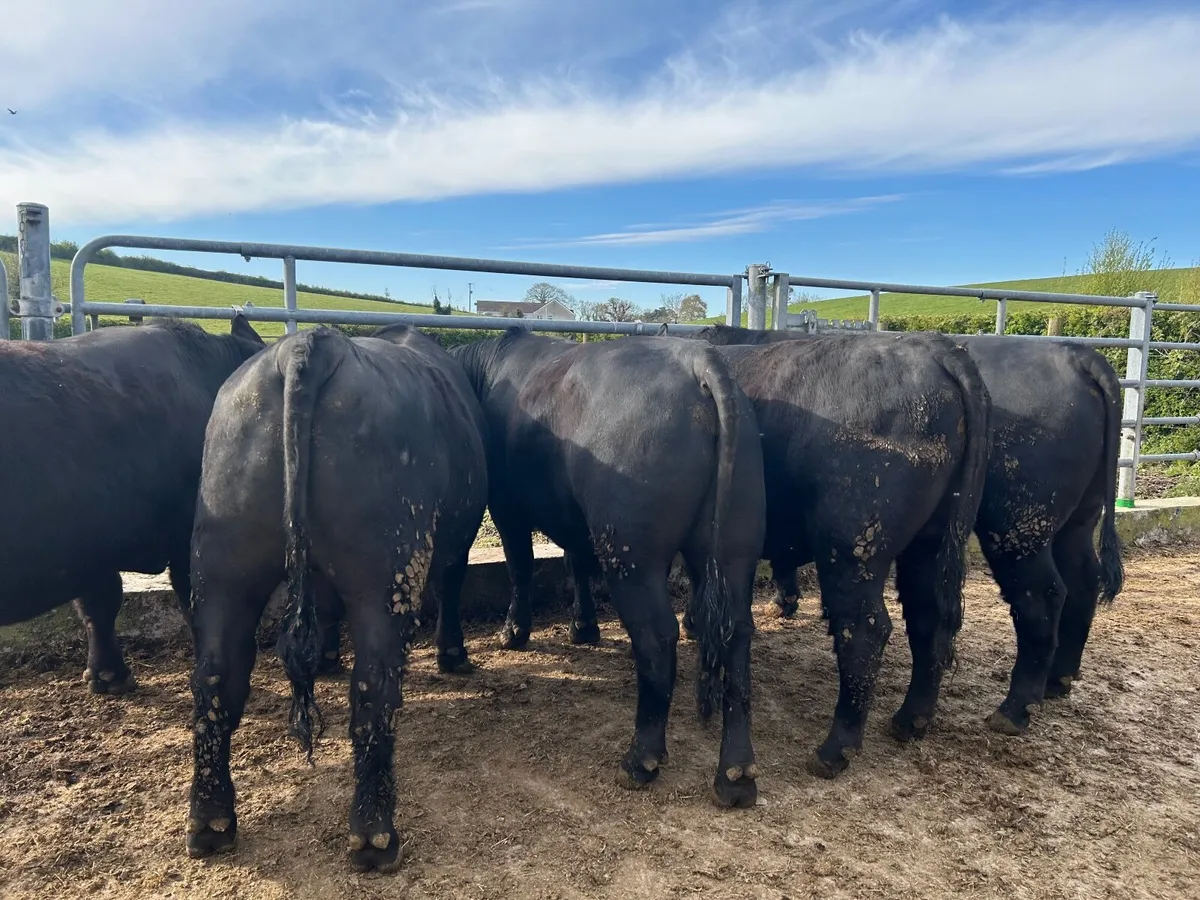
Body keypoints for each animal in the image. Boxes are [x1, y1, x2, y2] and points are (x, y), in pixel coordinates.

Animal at [184, 324, 488, 873]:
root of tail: (310, 344)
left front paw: (325, 656)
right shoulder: (456, 542)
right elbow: (452, 585)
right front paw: (454, 656)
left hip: (221, 565)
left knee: (216, 678)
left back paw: (210, 822)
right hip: (385, 571)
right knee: (375, 687)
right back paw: (374, 835)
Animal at [450, 328, 766, 808]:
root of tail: (698, 359)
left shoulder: (507, 506)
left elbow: (520, 565)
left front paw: (514, 631)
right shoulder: (574, 520)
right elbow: (576, 562)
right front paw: (584, 627)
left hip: (633, 554)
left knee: (657, 636)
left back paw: (641, 759)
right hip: (733, 547)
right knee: (736, 635)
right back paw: (736, 774)